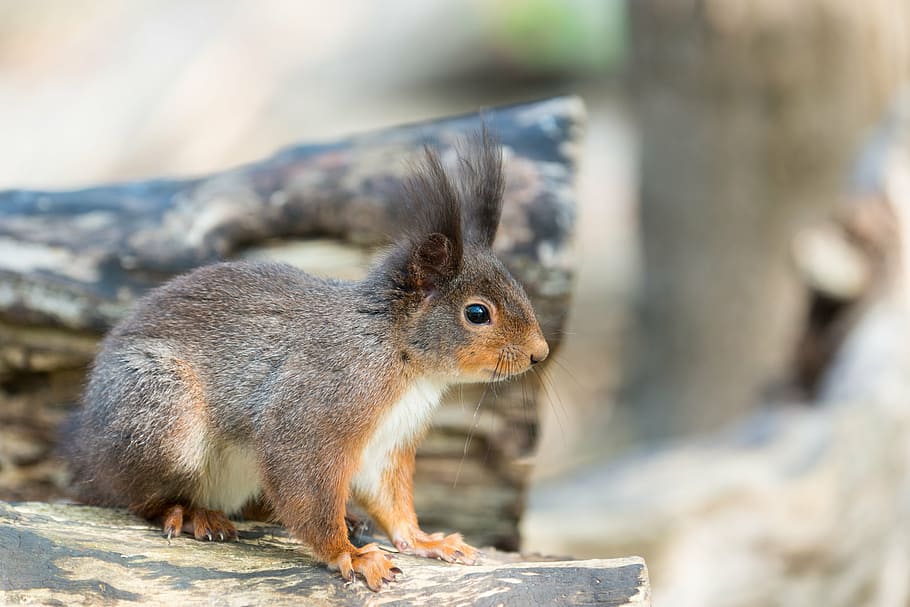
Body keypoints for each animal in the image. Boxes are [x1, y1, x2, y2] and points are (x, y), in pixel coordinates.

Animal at [64, 133, 550, 592]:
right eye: (477, 313)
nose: (539, 353)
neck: (404, 361)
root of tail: (87, 458)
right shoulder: (319, 404)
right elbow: (306, 486)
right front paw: (351, 555)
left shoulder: (390, 439)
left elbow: (391, 499)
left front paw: (426, 540)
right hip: (160, 411)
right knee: (137, 497)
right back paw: (188, 512)